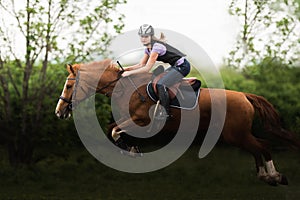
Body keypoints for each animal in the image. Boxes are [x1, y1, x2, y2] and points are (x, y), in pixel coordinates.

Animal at [54, 59, 300, 186]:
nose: (59, 112)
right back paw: (265, 176)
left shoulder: (141, 120)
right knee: (258, 147)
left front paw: (131, 150)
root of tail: (245, 96)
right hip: (238, 135)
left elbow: (114, 131)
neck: (125, 89)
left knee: (262, 146)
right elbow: (113, 130)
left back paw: (275, 176)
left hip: (235, 134)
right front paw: (132, 150)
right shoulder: (132, 121)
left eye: (69, 86)